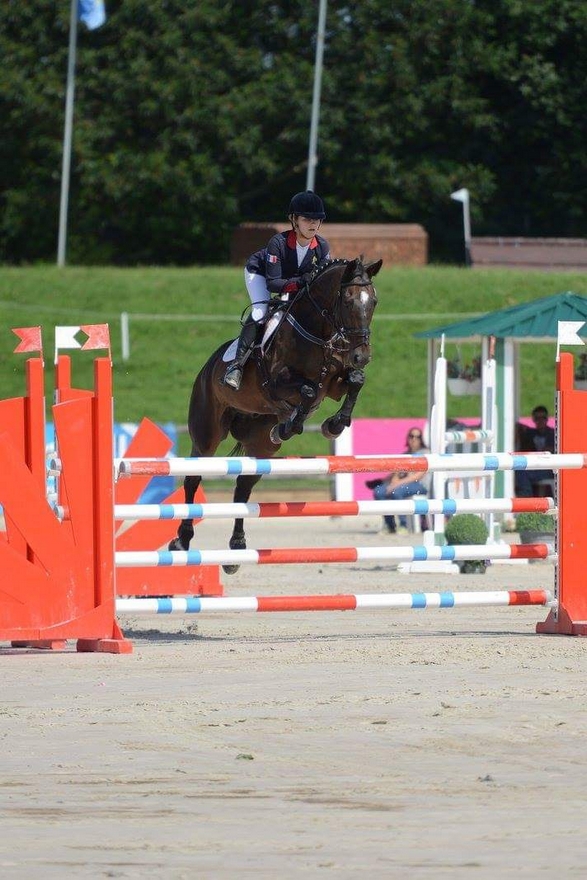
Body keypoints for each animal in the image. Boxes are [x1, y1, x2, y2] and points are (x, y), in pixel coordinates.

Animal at [168, 256, 384, 572]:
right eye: (347, 299)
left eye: (374, 301)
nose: (362, 356)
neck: (317, 331)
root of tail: (206, 369)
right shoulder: (278, 381)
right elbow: (308, 391)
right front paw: (291, 425)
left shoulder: (334, 384)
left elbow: (356, 381)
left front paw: (334, 424)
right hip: (207, 435)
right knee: (193, 479)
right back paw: (182, 541)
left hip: (261, 447)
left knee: (244, 486)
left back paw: (236, 550)